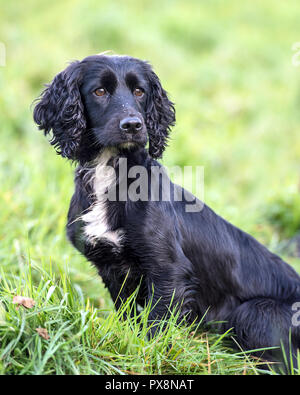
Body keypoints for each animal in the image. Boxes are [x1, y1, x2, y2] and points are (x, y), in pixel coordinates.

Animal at [32, 53, 300, 372]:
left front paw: (146, 358)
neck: (112, 173)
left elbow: (156, 328)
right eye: (99, 91)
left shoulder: (168, 272)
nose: (133, 125)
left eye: (139, 91)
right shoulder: (112, 269)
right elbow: (130, 318)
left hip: (256, 312)